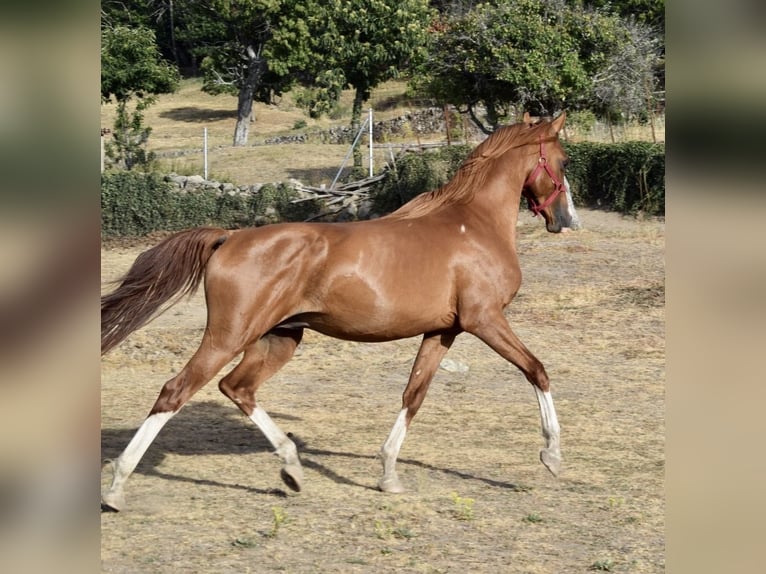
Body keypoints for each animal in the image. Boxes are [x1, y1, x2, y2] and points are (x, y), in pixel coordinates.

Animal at [103, 112, 584, 512]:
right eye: (563, 161)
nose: (567, 221)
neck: (474, 224)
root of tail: (229, 237)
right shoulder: (485, 320)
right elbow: (537, 370)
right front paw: (552, 456)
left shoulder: (443, 331)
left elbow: (413, 395)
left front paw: (388, 476)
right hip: (229, 335)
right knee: (176, 390)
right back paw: (116, 490)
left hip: (280, 338)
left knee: (237, 388)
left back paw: (292, 469)